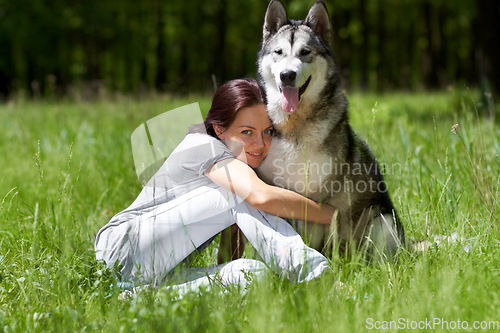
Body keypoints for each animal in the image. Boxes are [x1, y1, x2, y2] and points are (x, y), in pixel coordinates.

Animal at [256, 0, 404, 256]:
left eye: (305, 52)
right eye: (279, 52)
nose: (287, 75)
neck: (295, 125)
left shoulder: (320, 200)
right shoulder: (273, 192)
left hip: (381, 220)